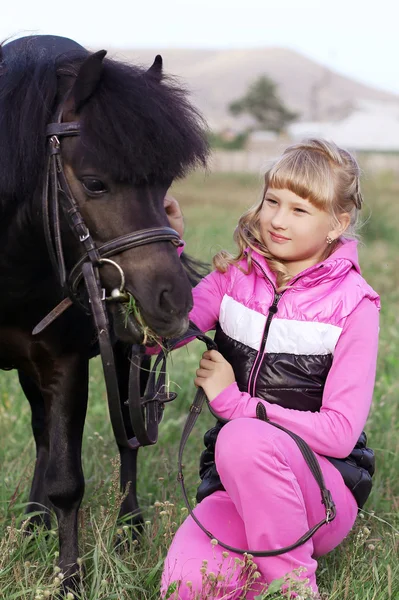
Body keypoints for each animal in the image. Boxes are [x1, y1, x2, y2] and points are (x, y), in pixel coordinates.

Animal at [0, 34, 208, 592]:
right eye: (94, 183)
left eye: (165, 184)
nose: (173, 300)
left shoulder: (66, 362)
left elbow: (68, 480)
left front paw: (69, 580)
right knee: (43, 432)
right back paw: (33, 522)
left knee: (129, 443)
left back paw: (128, 530)